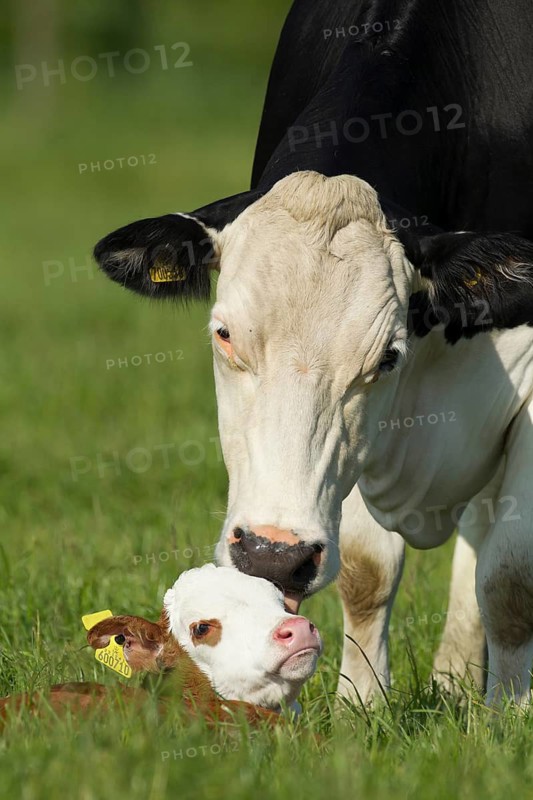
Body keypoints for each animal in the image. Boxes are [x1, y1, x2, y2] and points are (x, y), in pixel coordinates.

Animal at [93, 0, 533, 706]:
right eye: (224, 334)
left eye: (387, 356)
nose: (273, 554)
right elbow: (366, 570)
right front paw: (361, 707)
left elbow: (511, 580)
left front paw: (507, 717)